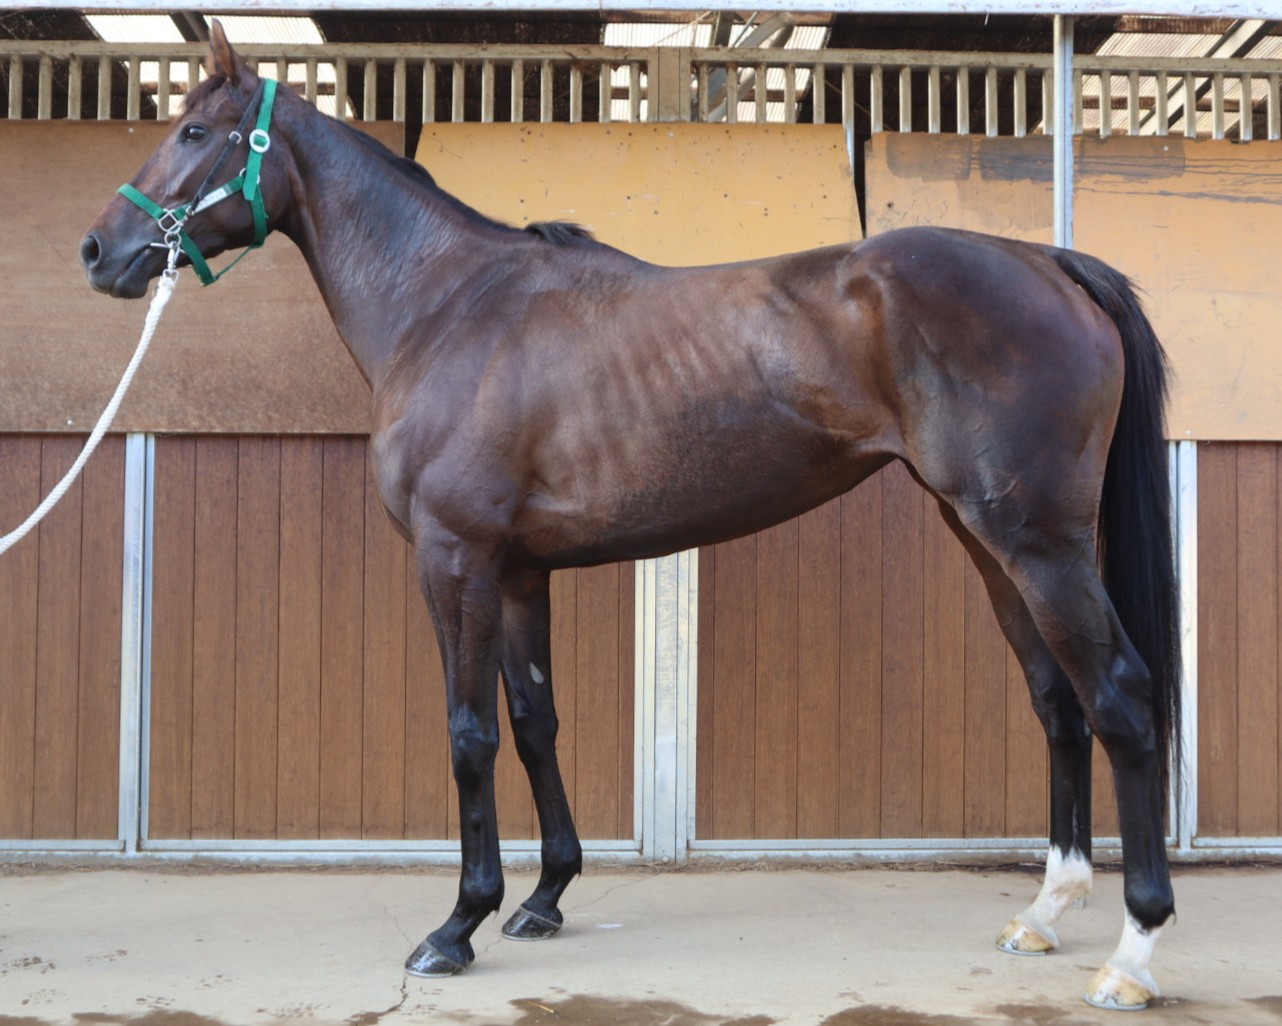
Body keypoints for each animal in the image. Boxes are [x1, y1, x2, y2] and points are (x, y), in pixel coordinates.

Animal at [81, 24, 1180, 1011]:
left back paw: (1133, 954)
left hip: (1036, 545)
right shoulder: (519, 571)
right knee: (1056, 700)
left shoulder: (455, 559)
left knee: (1120, 699)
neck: (449, 307)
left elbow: (470, 732)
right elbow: (535, 722)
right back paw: (1043, 913)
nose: (100, 252)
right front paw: (543, 899)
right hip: (991, 544)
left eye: (193, 130)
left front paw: (458, 925)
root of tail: (1048, 262)